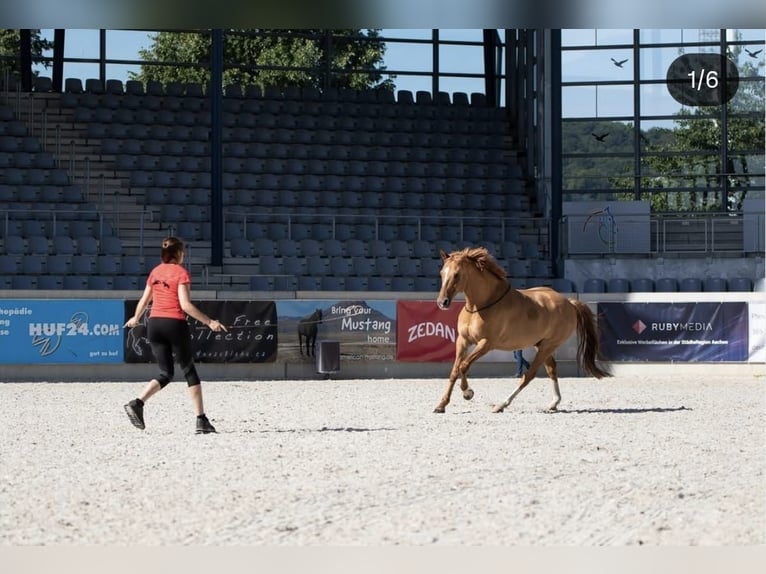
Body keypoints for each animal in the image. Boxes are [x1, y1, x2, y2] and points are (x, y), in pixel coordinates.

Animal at [435, 247, 611, 414]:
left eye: (457, 274)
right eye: (442, 273)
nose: (442, 302)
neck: (479, 306)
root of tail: (569, 303)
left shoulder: (486, 344)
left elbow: (464, 366)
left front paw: (468, 393)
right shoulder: (463, 341)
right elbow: (455, 370)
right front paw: (441, 405)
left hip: (548, 346)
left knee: (529, 375)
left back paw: (501, 405)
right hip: (541, 345)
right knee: (551, 369)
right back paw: (554, 403)